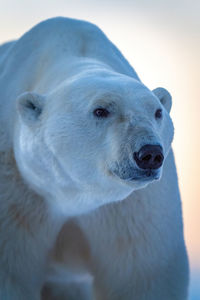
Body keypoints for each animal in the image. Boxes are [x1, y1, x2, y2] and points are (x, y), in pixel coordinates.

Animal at [0, 17, 189, 300]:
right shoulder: (19, 192)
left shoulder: (133, 210)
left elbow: (143, 275)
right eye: (100, 110)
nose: (150, 154)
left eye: (157, 111)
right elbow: (11, 271)